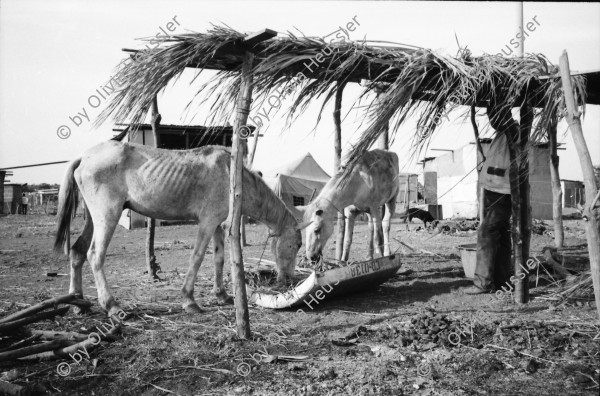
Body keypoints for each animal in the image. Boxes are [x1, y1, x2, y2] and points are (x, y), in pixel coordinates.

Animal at [54, 142, 308, 316]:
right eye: (297, 244)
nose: (288, 279)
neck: (231, 175)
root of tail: (84, 157)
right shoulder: (207, 222)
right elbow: (197, 257)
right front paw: (189, 300)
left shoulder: (217, 224)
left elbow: (218, 259)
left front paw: (222, 295)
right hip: (107, 216)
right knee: (94, 255)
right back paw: (111, 305)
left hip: (92, 219)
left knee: (77, 252)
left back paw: (77, 303)